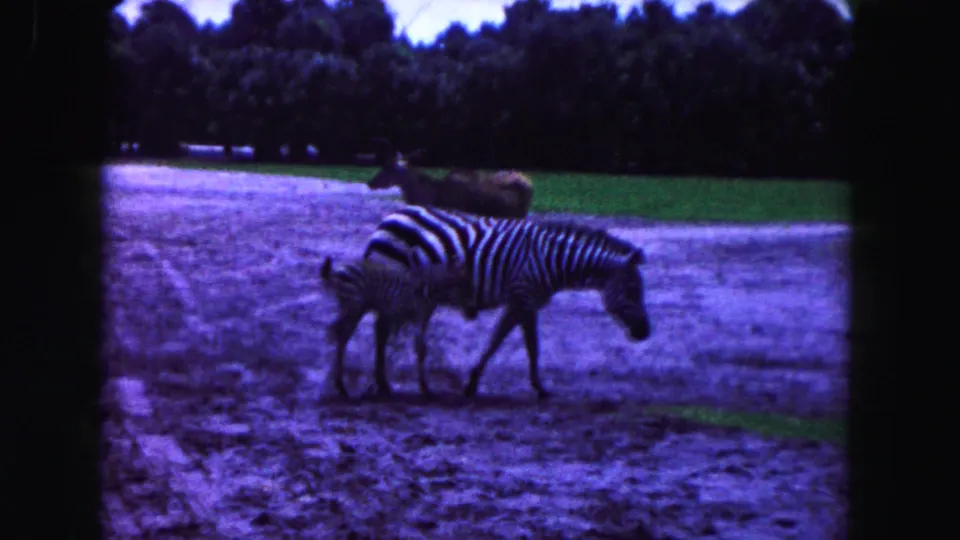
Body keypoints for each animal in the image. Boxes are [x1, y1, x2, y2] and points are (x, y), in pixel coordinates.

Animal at [319, 254, 471, 398]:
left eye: (463, 284)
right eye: (458, 284)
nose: (470, 311)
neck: (428, 290)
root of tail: (337, 270)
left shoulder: (413, 317)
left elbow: (411, 346)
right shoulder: (414, 315)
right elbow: (419, 348)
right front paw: (424, 387)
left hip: (350, 307)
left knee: (339, 333)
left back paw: (339, 384)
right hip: (355, 305)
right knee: (342, 336)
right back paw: (340, 386)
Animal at [361, 205, 652, 399]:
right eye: (632, 291)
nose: (645, 333)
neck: (552, 261)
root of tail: (391, 216)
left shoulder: (525, 302)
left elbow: (519, 344)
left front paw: (533, 386)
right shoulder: (521, 297)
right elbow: (511, 343)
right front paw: (478, 383)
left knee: (383, 328)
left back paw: (386, 382)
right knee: (381, 329)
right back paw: (383, 383)